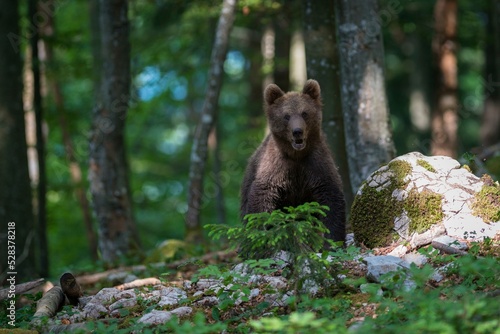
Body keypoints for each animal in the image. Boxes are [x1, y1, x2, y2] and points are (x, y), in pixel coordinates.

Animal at [240, 80, 346, 244]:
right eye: (286, 116)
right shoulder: (276, 167)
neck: (296, 155)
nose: (297, 131)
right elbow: (261, 199)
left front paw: (332, 241)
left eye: (304, 113)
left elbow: (331, 198)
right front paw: (259, 238)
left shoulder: (316, 164)